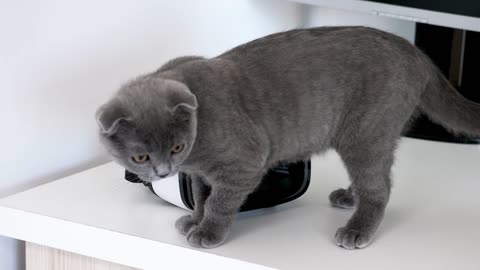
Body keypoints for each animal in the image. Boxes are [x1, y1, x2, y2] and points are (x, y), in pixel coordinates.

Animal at [95, 26, 480, 249]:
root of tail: (417, 53)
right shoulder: (201, 172)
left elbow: (219, 202)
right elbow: (202, 196)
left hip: (364, 132)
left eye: (176, 146)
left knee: (379, 187)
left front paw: (207, 232)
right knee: (376, 176)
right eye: (141, 157)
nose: (163, 171)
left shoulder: (243, 163)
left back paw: (357, 229)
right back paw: (349, 196)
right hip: (374, 134)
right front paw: (194, 219)